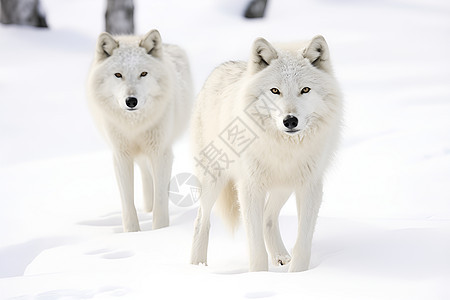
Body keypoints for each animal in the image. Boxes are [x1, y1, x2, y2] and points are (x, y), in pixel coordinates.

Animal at [87, 29, 193, 232]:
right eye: (118, 75)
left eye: (143, 73)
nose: (131, 101)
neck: (134, 125)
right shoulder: (121, 156)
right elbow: (127, 202)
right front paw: (133, 233)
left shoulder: (161, 152)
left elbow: (161, 200)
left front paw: (160, 230)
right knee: (145, 173)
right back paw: (147, 208)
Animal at [189, 35, 342, 272]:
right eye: (275, 91)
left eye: (305, 90)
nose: (290, 120)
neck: (284, 148)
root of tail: (220, 68)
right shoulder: (250, 187)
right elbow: (256, 248)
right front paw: (259, 275)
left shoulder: (310, 187)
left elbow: (303, 242)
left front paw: (298, 273)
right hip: (213, 179)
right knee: (201, 221)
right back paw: (197, 266)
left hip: (283, 187)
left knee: (268, 218)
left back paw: (280, 256)